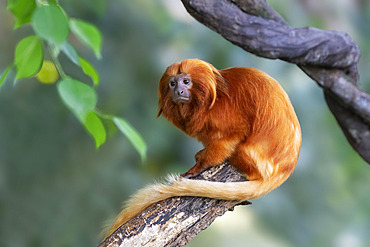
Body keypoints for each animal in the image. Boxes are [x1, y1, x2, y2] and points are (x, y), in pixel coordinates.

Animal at [104, 58, 300, 238]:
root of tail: (285, 170)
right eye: (173, 83)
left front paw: (199, 166)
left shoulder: (227, 116)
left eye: (186, 82)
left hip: (258, 160)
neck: (204, 101)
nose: (179, 91)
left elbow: (234, 134)